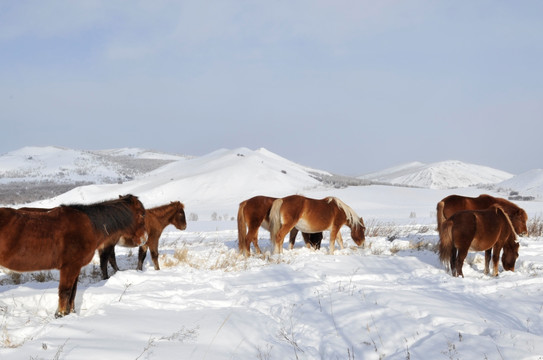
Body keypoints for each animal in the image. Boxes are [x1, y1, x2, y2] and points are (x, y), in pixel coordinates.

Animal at [0, 195, 147, 316]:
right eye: (142, 214)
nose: (145, 238)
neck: (89, 226)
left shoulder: (76, 267)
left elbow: (73, 292)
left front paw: (70, 314)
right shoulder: (69, 267)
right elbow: (65, 292)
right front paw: (60, 315)